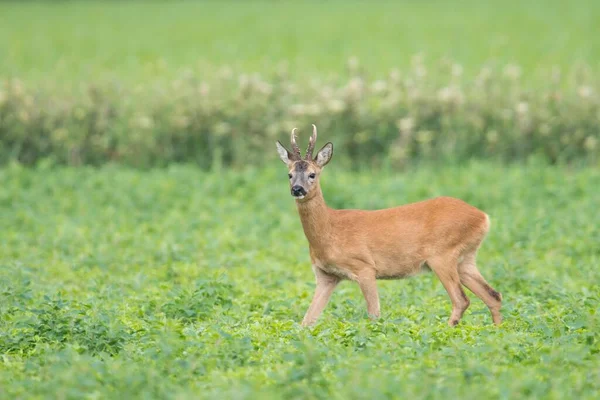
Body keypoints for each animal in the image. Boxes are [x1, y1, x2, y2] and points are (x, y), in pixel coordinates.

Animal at [276, 126, 502, 328]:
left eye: (312, 174)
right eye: (289, 174)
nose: (297, 189)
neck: (329, 230)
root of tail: (483, 217)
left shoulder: (365, 266)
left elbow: (374, 313)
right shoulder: (326, 276)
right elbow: (307, 321)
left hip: (443, 254)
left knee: (462, 299)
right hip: (465, 258)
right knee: (493, 295)